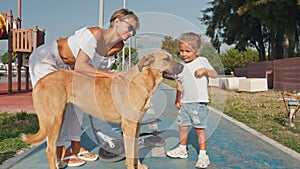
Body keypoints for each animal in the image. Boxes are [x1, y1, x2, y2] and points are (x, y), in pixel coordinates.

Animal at [22, 50, 183, 169]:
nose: (182, 66)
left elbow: (135, 150)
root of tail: (41, 81)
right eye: (166, 59)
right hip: (55, 119)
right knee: (49, 149)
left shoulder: (136, 126)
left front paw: (139, 166)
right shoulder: (129, 126)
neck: (142, 81)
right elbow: (130, 153)